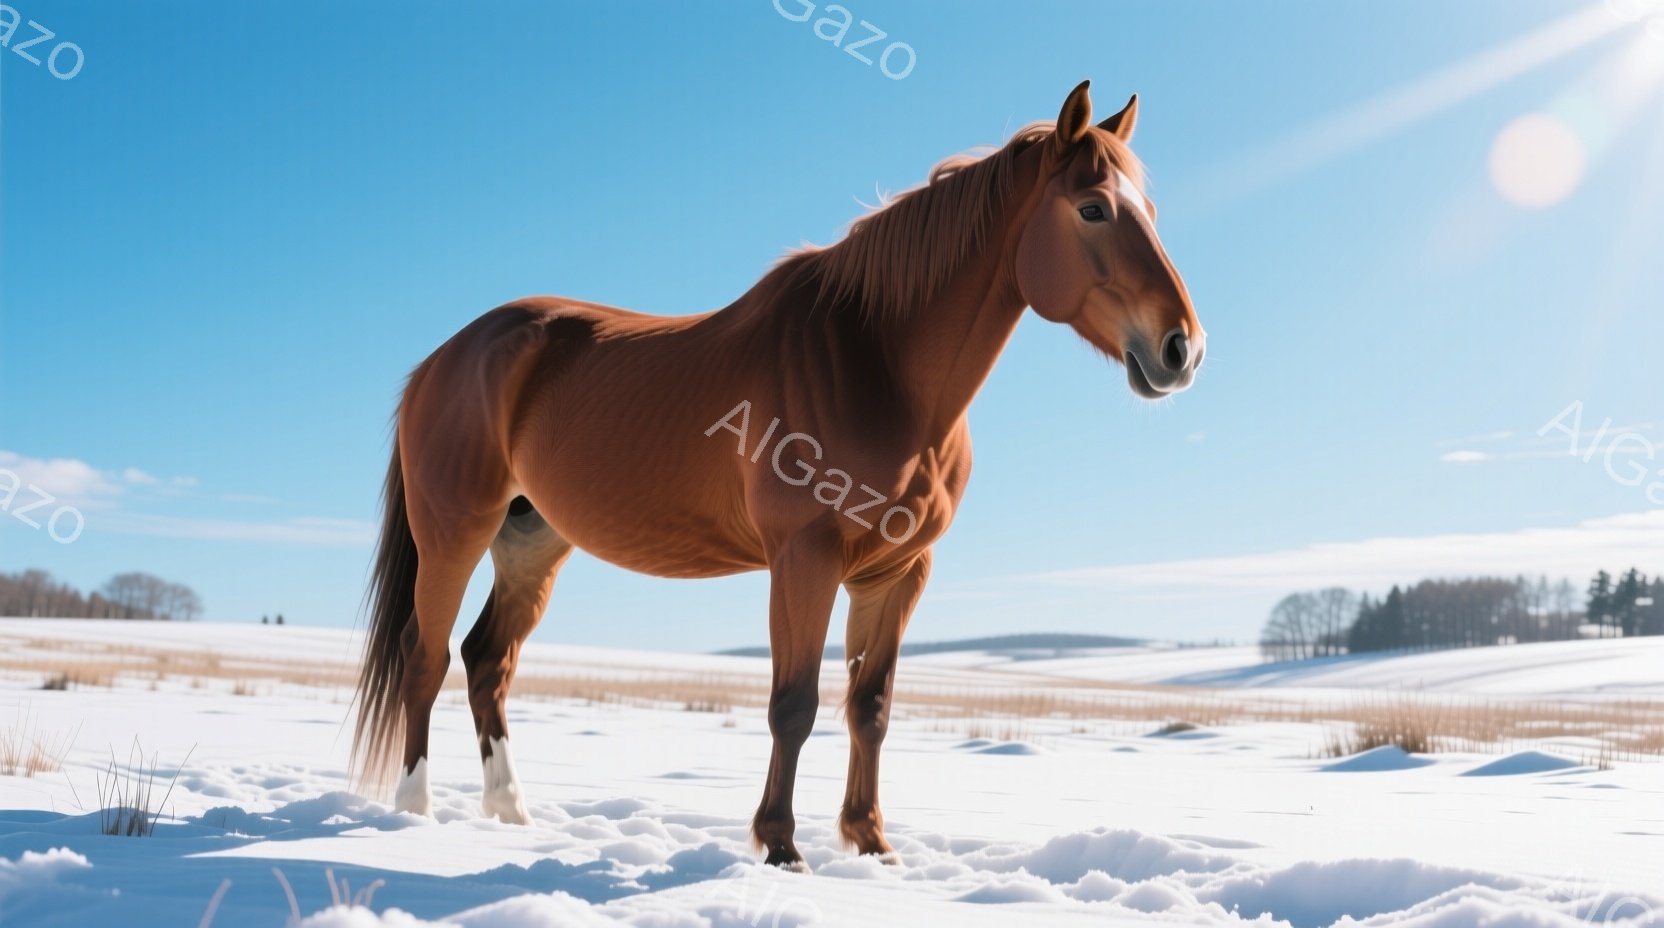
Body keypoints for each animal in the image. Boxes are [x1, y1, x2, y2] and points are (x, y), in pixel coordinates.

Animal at [351, 80, 1203, 868]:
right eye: (1092, 209)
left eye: (1151, 209)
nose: (1181, 349)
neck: (879, 365)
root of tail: (446, 357)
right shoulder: (804, 558)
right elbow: (793, 703)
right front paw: (782, 846)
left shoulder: (898, 571)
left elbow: (871, 707)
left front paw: (871, 844)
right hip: (456, 532)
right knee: (426, 657)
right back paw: (415, 812)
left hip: (533, 543)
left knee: (487, 661)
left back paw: (510, 813)